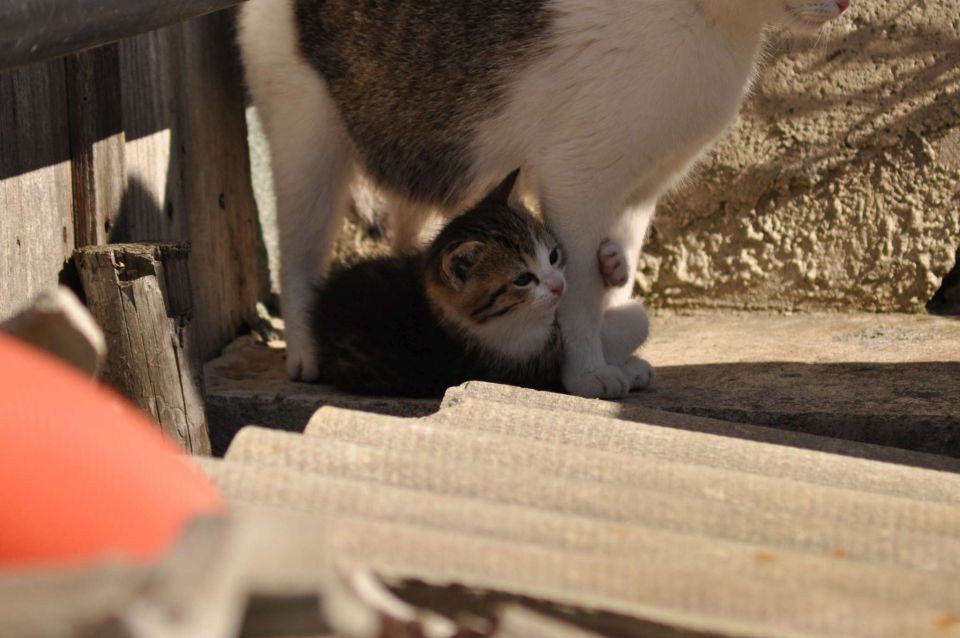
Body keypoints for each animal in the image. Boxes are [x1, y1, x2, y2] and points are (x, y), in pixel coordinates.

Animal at [312, 172, 648, 398]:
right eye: (522, 279)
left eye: (553, 255)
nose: (557, 286)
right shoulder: (524, 362)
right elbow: (625, 326)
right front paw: (623, 359)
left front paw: (613, 263)